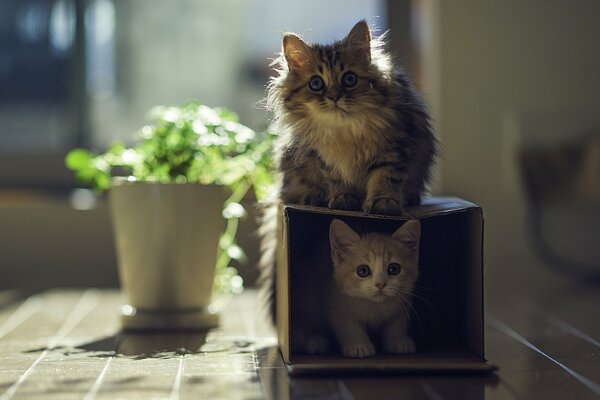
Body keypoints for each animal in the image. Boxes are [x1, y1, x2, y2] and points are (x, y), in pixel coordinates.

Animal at [326, 219, 420, 360]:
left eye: (394, 268)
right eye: (363, 271)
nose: (380, 284)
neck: (375, 306)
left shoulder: (404, 300)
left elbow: (396, 322)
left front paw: (398, 340)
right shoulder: (336, 299)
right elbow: (348, 324)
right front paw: (358, 345)